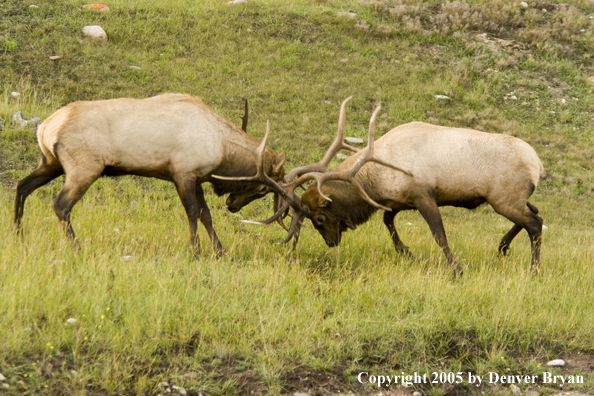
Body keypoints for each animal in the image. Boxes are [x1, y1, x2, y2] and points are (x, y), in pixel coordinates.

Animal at [11, 93, 284, 254]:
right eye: (263, 188)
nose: (232, 205)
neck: (221, 150)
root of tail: (46, 127)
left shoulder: (195, 177)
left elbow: (206, 215)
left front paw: (220, 251)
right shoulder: (183, 172)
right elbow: (192, 212)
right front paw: (195, 251)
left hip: (50, 162)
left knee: (22, 186)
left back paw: (18, 234)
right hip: (83, 168)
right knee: (60, 204)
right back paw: (76, 247)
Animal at [224, 96, 544, 276]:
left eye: (320, 217)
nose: (331, 243)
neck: (375, 176)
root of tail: (537, 164)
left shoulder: (424, 194)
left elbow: (439, 235)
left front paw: (456, 269)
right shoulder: (398, 201)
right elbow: (388, 221)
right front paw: (406, 251)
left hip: (503, 197)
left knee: (536, 222)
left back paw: (534, 269)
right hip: (511, 198)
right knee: (535, 211)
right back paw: (503, 246)